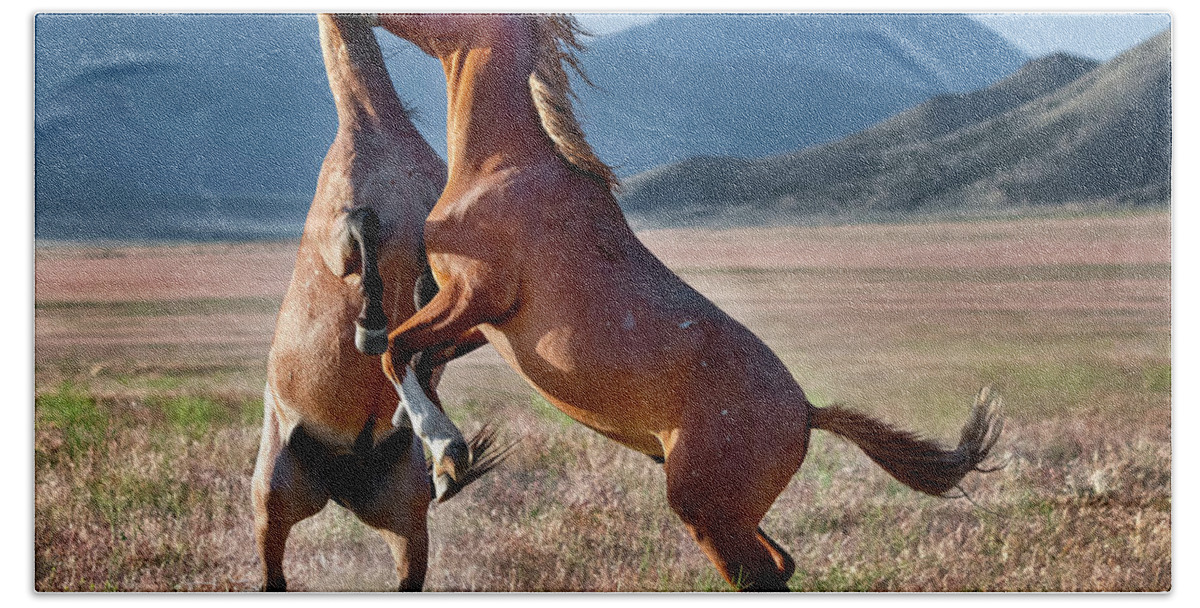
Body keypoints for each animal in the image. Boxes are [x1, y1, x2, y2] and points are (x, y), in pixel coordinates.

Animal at [372, 14, 1003, 592]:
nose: (365, 18)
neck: (503, 168)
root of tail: (807, 413)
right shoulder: (483, 324)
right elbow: (417, 357)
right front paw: (425, 451)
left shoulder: (474, 296)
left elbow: (393, 350)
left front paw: (446, 455)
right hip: (729, 513)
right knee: (780, 563)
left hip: (706, 511)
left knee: (761, 576)